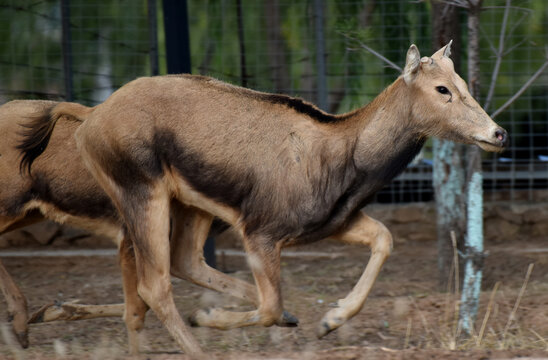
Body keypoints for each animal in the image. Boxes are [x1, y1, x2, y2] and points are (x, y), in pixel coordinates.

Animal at [2, 100, 294, 352]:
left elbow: (140, 303)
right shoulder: (131, 237)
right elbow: (139, 307)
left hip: (31, 212)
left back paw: (24, 320)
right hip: (12, 204)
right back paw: (21, 319)